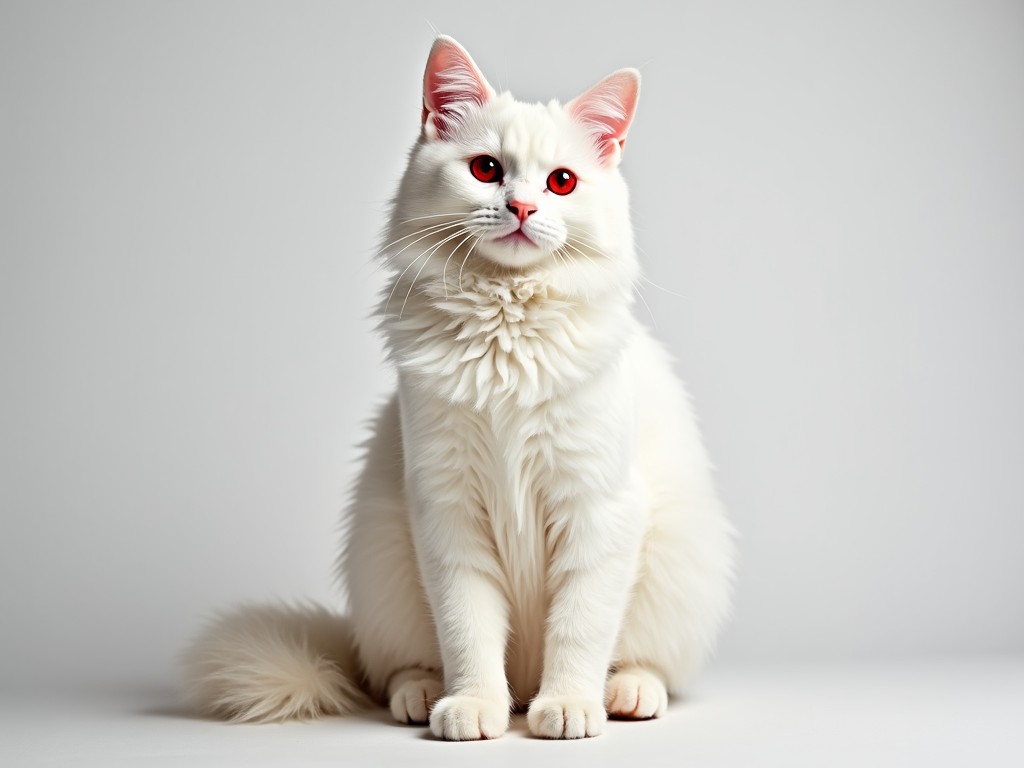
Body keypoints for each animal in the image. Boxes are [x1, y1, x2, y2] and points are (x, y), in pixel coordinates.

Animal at [186, 34, 737, 741]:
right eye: (485, 169)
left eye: (561, 181)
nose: (523, 207)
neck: (506, 324)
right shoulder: (446, 511)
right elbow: (466, 629)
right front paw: (474, 707)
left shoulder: (597, 507)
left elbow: (579, 629)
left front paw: (569, 706)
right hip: (383, 561)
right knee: (398, 665)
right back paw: (424, 695)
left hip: (678, 563)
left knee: (647, 661)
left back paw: (625, 693)